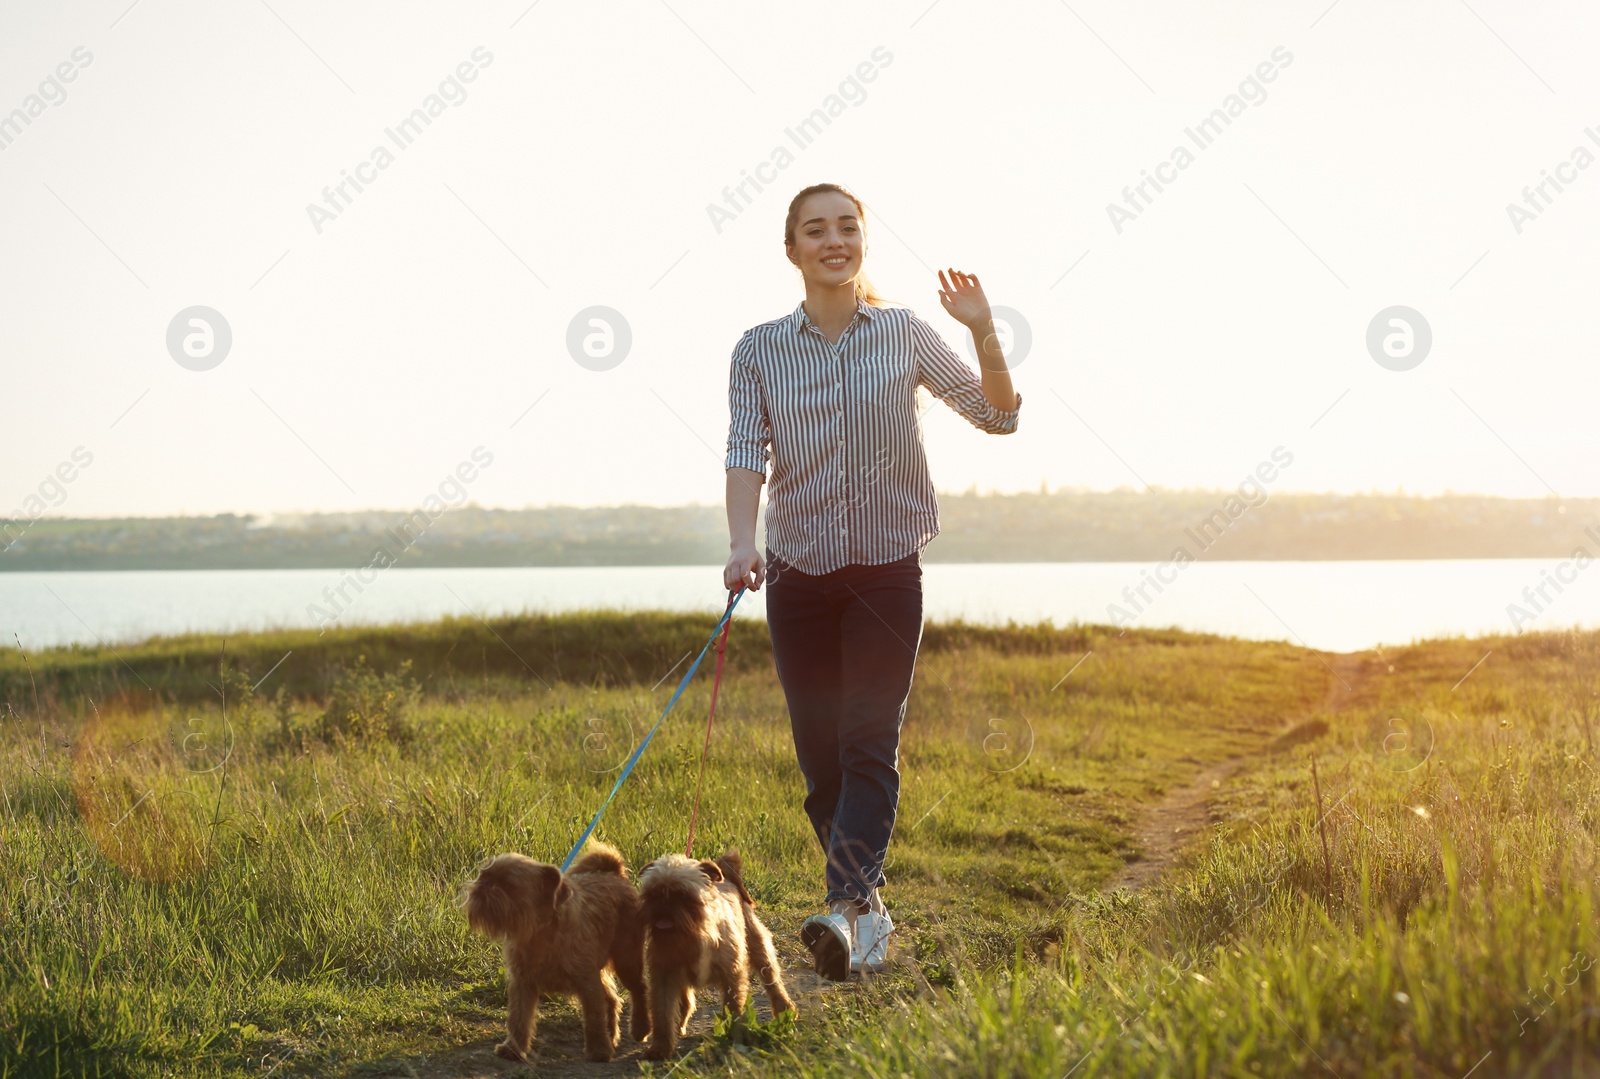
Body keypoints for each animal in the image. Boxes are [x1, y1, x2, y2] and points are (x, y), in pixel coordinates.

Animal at [460, 838, 646, 1056]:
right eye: (483, 876)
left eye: (508, 885)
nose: (485, 884)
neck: (539, 933)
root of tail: (613, 873)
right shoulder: (522, 983)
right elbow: (518, 1018)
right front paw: (513, 1048)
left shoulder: (586, 980)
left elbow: (593, 1017)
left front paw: (599, 1050)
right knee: (610, 999)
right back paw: (612, 1035)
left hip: (627, 960)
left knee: (638, 989)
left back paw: (640, 1028)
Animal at [630, 851, 793, 1056]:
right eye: (653, 893)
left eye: (682, 894)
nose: (663, 904)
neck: (693, 935)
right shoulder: (664, 977)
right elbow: (663, 1014)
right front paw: (661, 1047)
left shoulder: (732, 975)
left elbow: (733, 1008)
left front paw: (736, 1035)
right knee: (685, 1001)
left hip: (759, 949)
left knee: (772, 981)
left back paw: (785, 1009)